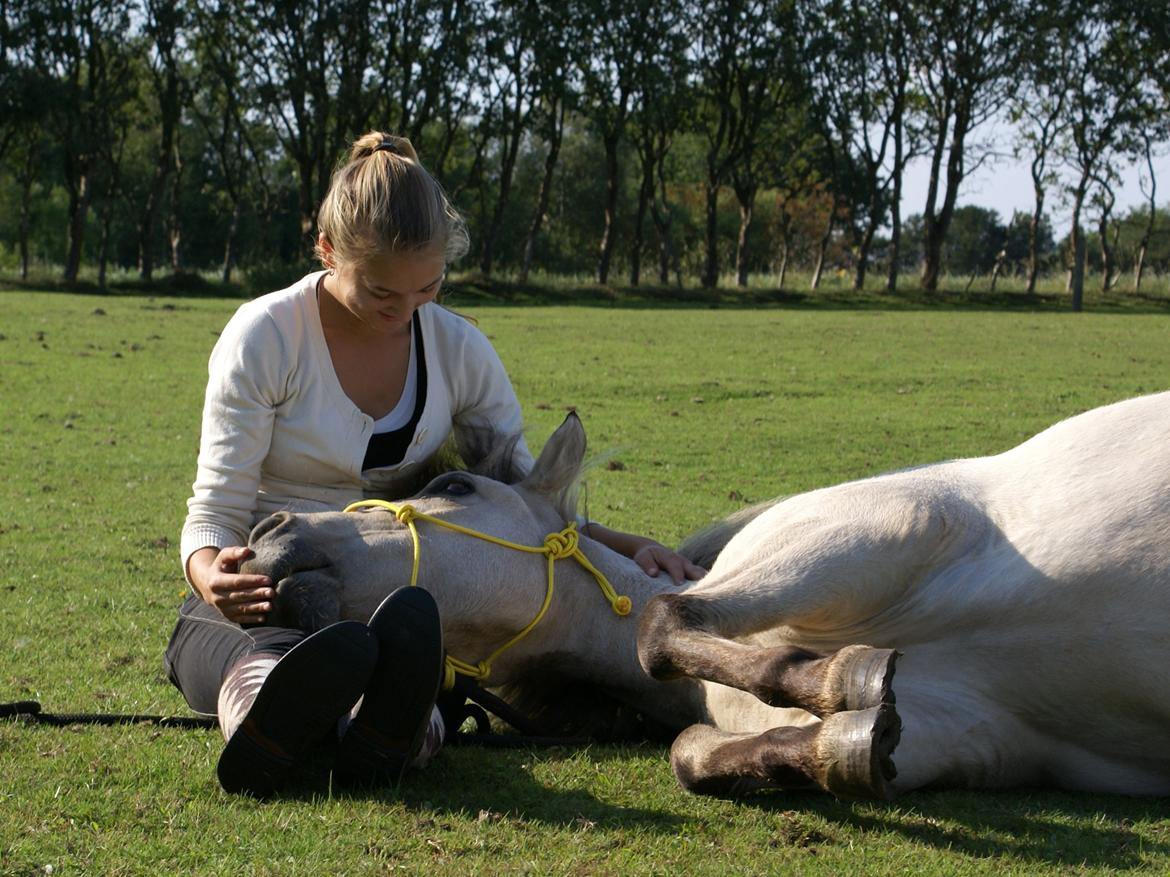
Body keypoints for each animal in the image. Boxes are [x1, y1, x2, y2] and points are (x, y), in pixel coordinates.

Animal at [237, 395, 1170, 799]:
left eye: (456, 486)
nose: (268, 529)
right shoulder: (970, 737)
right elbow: (697, 750)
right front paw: (847, 729)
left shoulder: (890, 523)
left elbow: (664, 619)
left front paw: (838, 678)